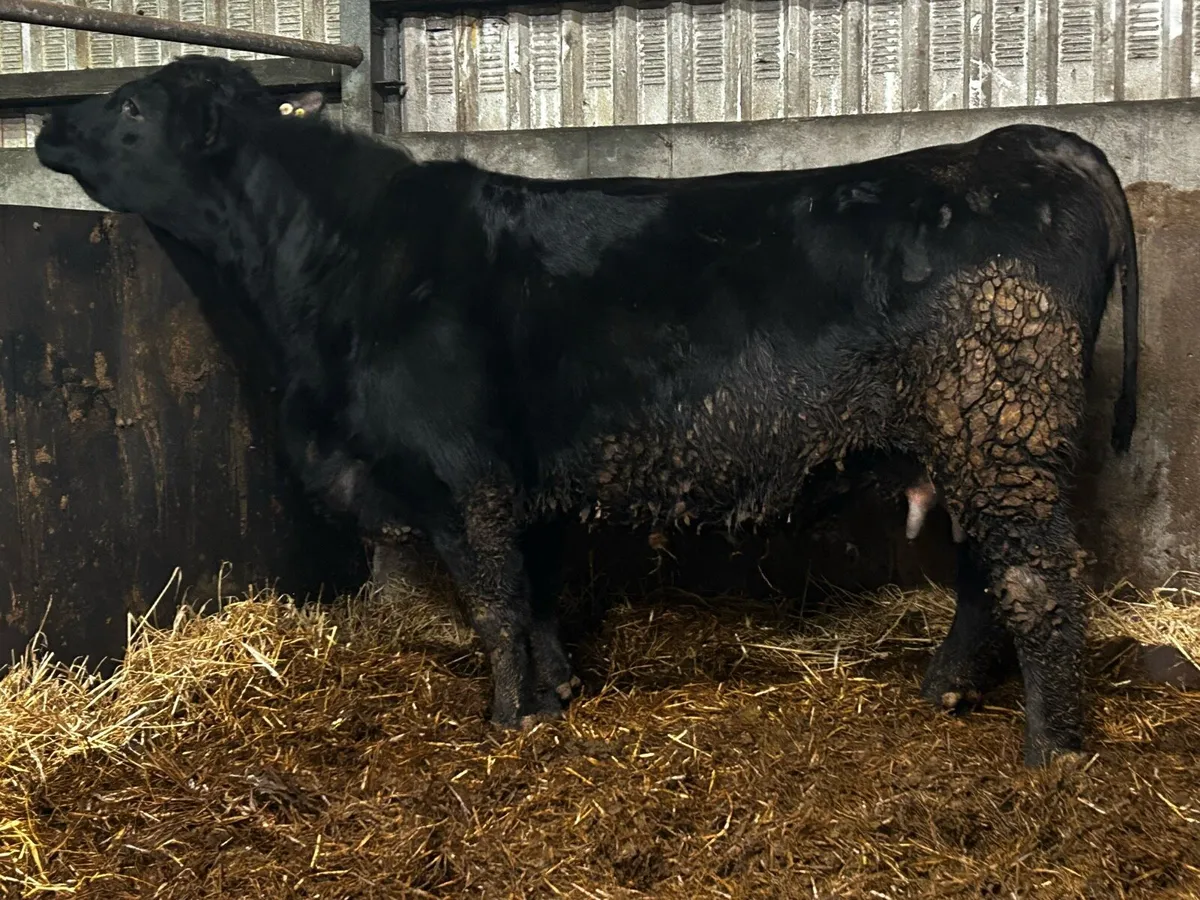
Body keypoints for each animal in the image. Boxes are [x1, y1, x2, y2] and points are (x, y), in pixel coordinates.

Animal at [34, 56, 1139, 767]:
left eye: (130, 105)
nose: (46, 125)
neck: (339, 261)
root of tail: (1024, 145)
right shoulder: (525, 478)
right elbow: (538, 593)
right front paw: (557, 691)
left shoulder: (462, 473)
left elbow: (494, 601)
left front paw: (508, 721)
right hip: (974, 442)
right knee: (986, 572)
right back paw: (947, 690)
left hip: (1003, 430)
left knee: (1039, 581)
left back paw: (1049, 750)